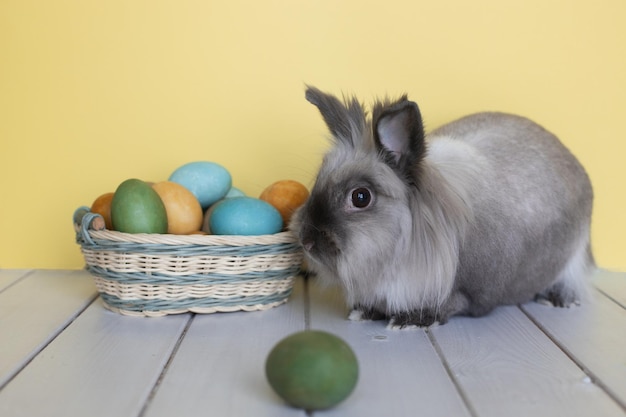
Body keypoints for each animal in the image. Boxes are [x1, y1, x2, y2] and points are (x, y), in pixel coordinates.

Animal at [290, 86, 592, 326]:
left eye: (361, 197)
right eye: (318, 179)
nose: (306, 240)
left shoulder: (472, 292)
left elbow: (455, 303)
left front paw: (409, 321)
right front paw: (364, 313)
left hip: (575, 254)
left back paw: (560, 299)